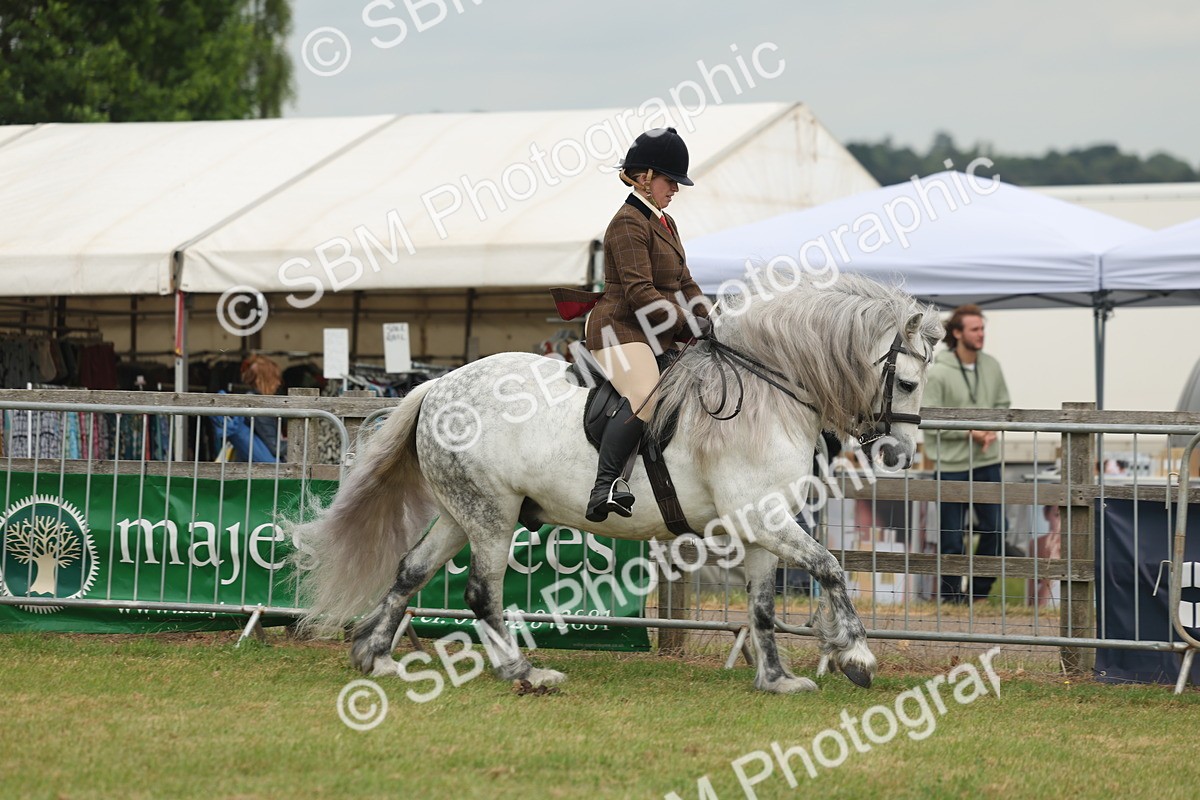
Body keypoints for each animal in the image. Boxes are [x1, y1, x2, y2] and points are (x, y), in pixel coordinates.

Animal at [292, 271, 942, 693]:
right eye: (909, 382)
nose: (898, 453)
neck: (768, 391)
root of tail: (435, 386)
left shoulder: (762, 525)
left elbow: (761, 604)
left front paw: (777, 679)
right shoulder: (764, 518)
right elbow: (831, 568)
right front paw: (856, 655)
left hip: (463, 512)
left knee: (411, 570)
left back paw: (374, 657)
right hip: (492, 516)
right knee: (481, 593)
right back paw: (525, 674)